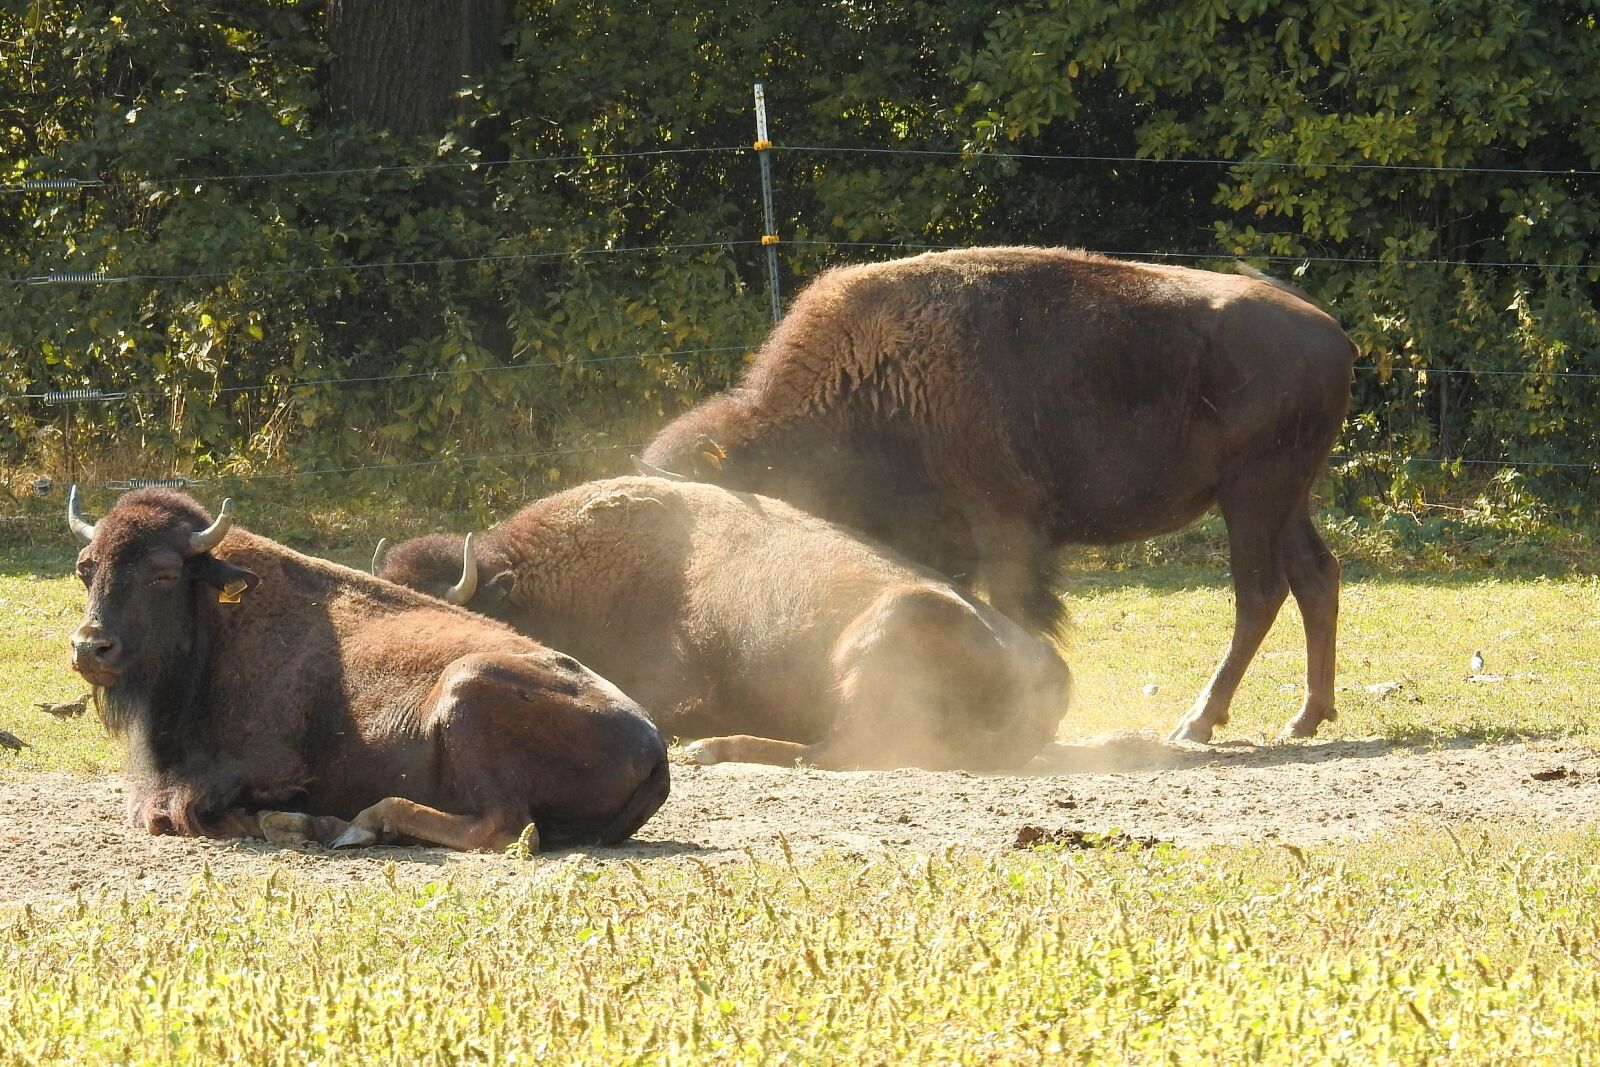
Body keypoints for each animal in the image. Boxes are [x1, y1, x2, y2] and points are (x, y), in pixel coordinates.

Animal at [66, 487, 668, 851]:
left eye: (165, 574)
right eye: (85, 569)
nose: (90, 648)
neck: (217, 615)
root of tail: (654, 741)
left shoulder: (257, 768)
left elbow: (173, 811)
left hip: (467, 686)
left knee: (505, 828)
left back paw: (356, 824)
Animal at [641, 247, 1357, 742]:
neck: (878, 377)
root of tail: (1334, 335)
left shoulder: (1005, 526)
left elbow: (1015, 606)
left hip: (1253, 492)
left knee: (1259, 591)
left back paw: (1198, 722)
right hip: (1288, 495)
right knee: (1315, 576)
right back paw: (1306, 716)